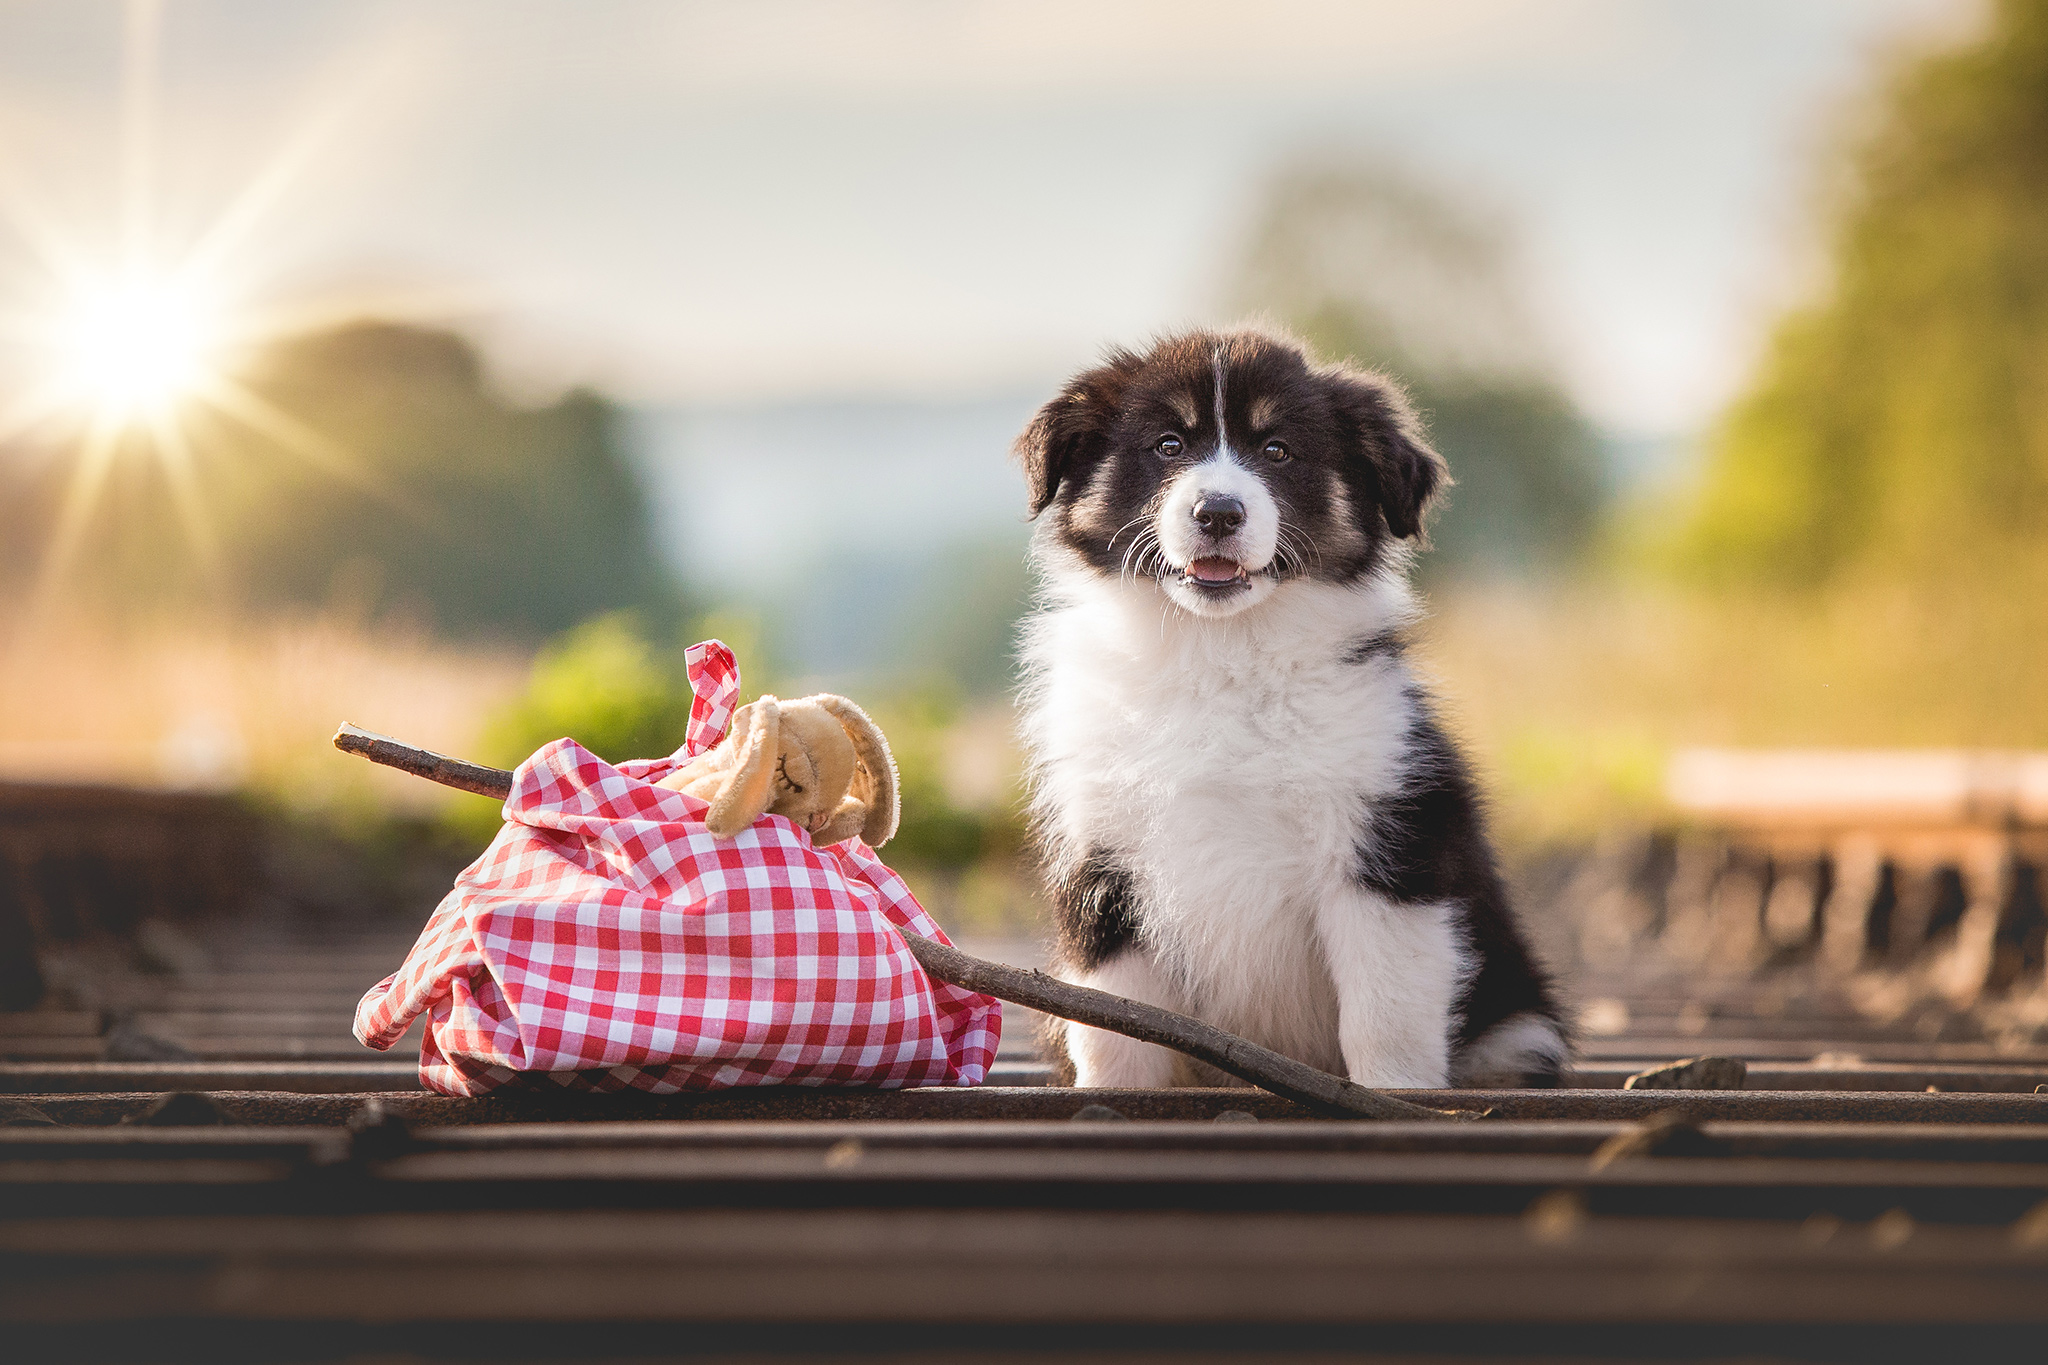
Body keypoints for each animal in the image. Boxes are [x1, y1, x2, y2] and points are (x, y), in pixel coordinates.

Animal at [1019, 325, 1564, 1096]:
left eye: (1277, 450)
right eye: (1167, 444)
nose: (1219, 513)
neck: (1219, 654)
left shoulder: (1385, 851)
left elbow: (1385, 1013)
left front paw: (1393, 1095)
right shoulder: (1103, 860)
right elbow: (1116, 1026)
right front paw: (1112, 1096)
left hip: (1520, 1029)